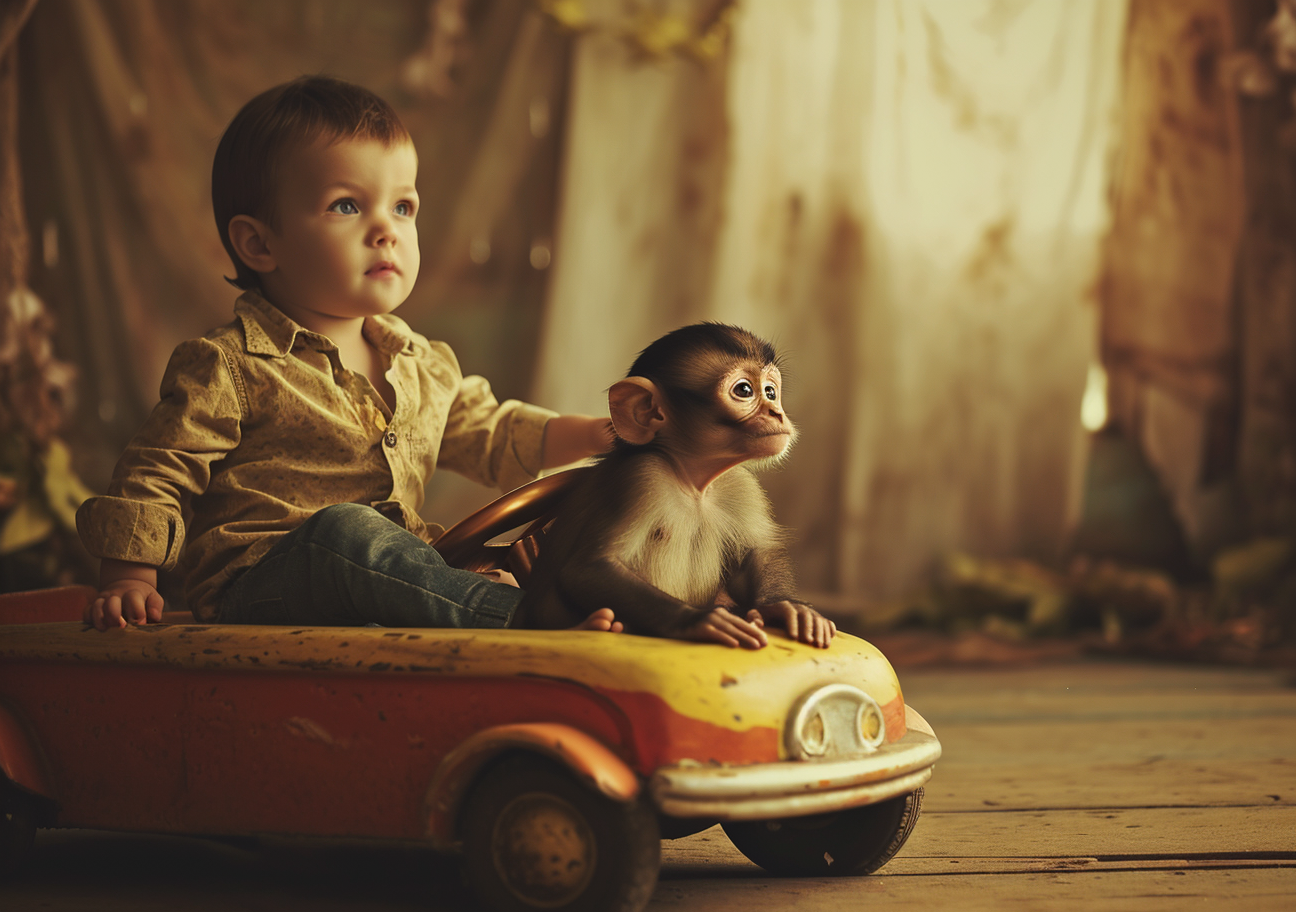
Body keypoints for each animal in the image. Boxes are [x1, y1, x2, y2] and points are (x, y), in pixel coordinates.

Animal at [515, 322, 839, 647]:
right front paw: (699, 621)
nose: (777, 413)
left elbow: (756, 555)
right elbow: (587, 568)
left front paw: (784, 606)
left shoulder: (742, 485)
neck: (692, 481)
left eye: (771, 392)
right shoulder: (641, 476)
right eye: (744, 390)